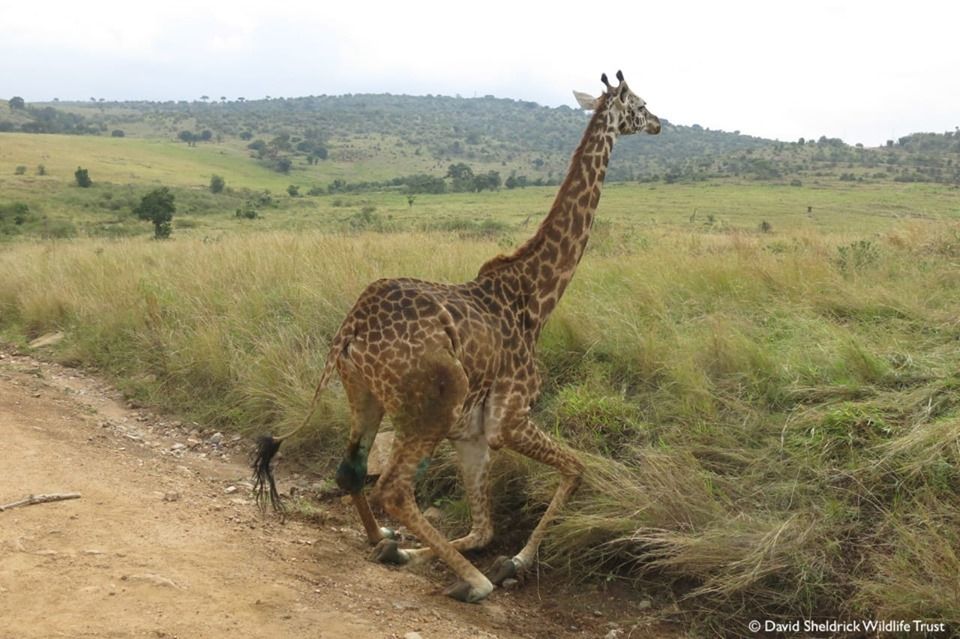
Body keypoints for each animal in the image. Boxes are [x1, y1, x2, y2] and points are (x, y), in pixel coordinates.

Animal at [253, 70, 660, 603]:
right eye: (641, 104)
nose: (659, 123)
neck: (536, 299)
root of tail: (351, 329)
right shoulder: (510, 419)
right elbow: (575, 469)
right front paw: (513, 562)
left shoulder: (472, 435)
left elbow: (482, 529)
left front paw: (415, 553)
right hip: (432, 404)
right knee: (394, 488)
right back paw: (474, 581)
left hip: (364, 394)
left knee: (352, 470)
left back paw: (385, 541)